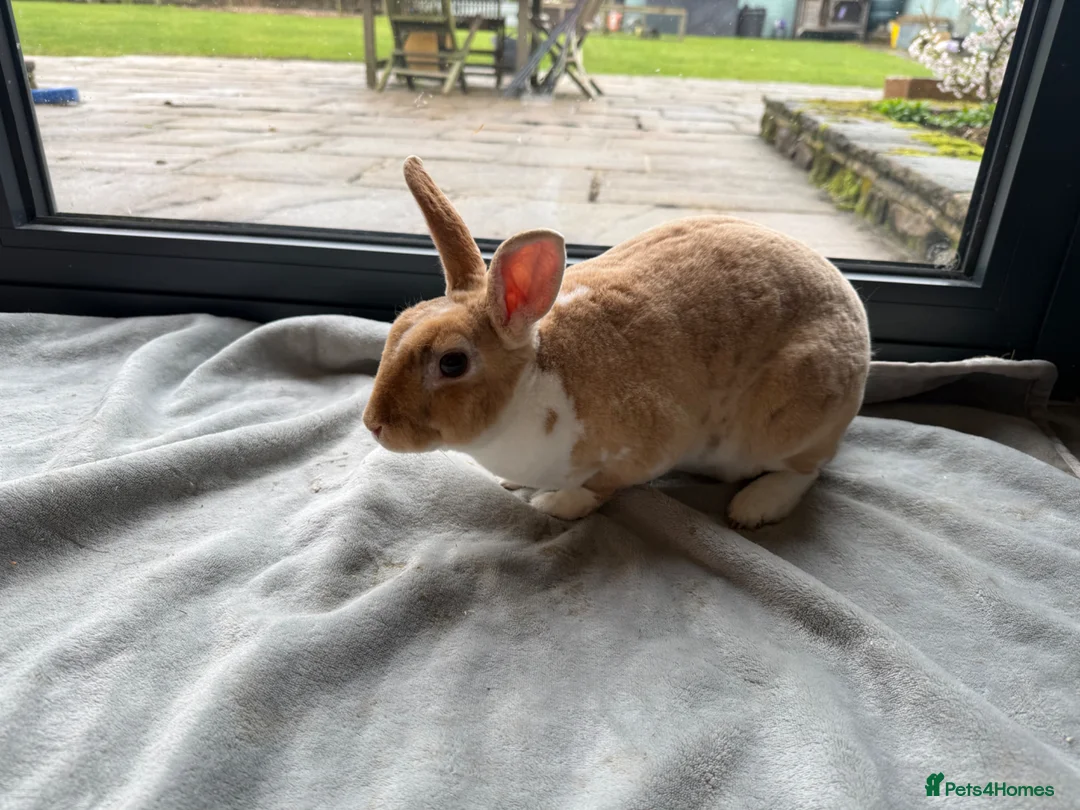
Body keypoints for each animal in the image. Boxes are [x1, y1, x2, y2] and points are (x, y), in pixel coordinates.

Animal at [362, 156, 871, 528]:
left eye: (452, 363)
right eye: (397, 326)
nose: (373, 425)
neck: (533, 385)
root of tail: (858, 325)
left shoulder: (650, 442)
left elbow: (599, 486)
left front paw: (552, 504)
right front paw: (515, 487)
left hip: (790, 412)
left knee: (807, 468)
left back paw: (755, 507)